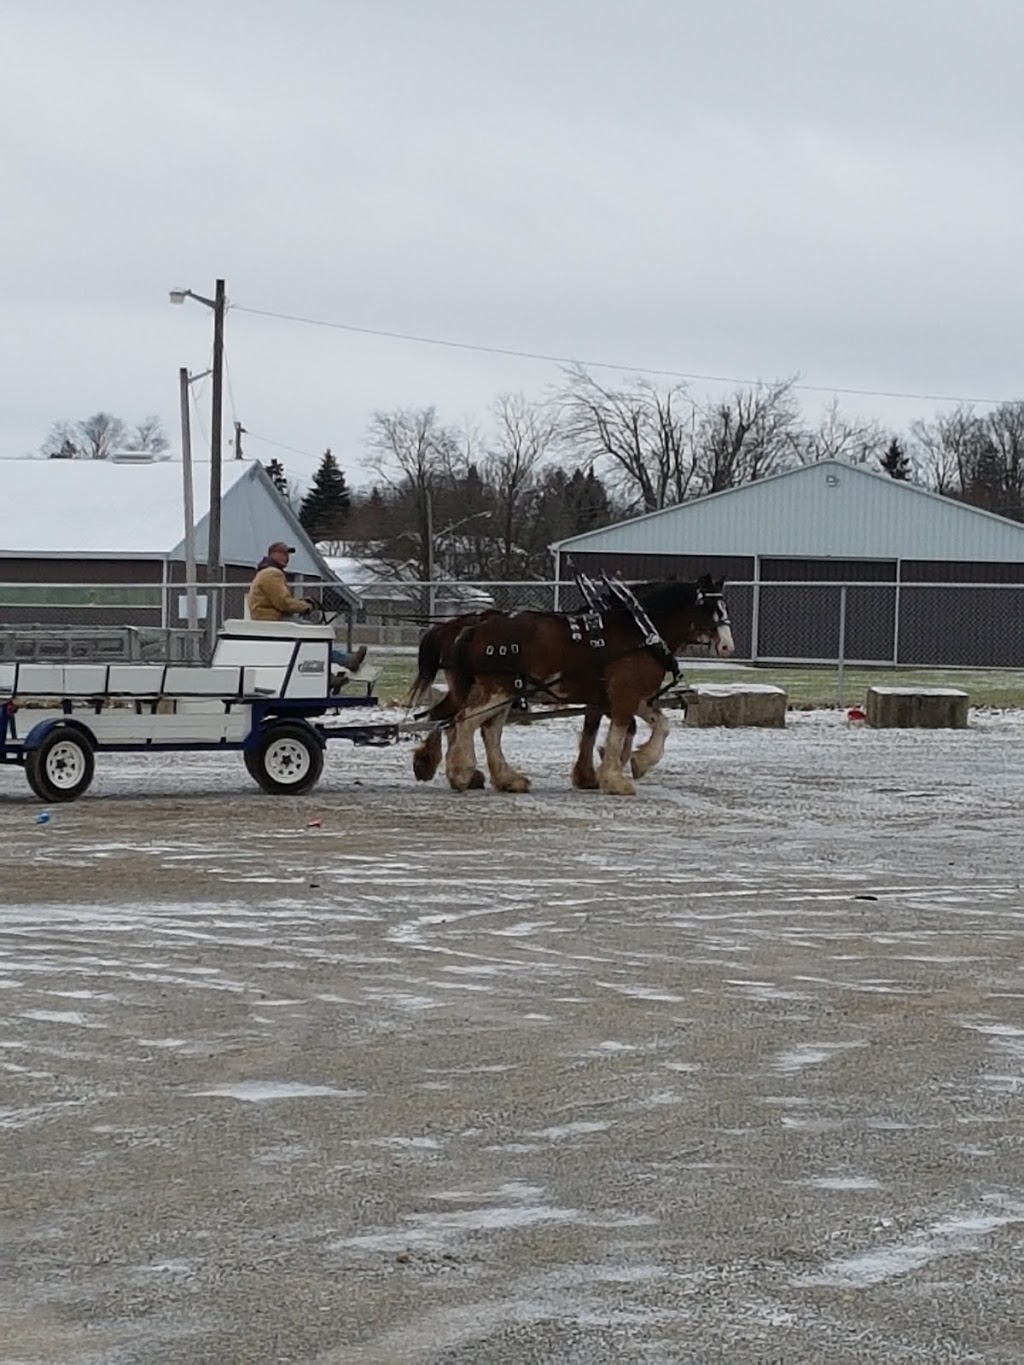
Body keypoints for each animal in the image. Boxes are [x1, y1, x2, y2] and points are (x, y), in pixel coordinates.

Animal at [447, 578, 737, 797]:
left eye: (725, 606)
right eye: (709, 607)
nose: (727, 646)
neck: (640, 632)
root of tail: (479, 626)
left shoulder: (635, 697)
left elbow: (660, 726)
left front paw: (639, 762)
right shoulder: (625, 696)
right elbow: (618, 733)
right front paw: (614, 779)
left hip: (507, 691)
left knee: (490, 730)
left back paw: (507, 779)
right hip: (499, 689)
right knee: (466, 720)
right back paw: (461, 774)